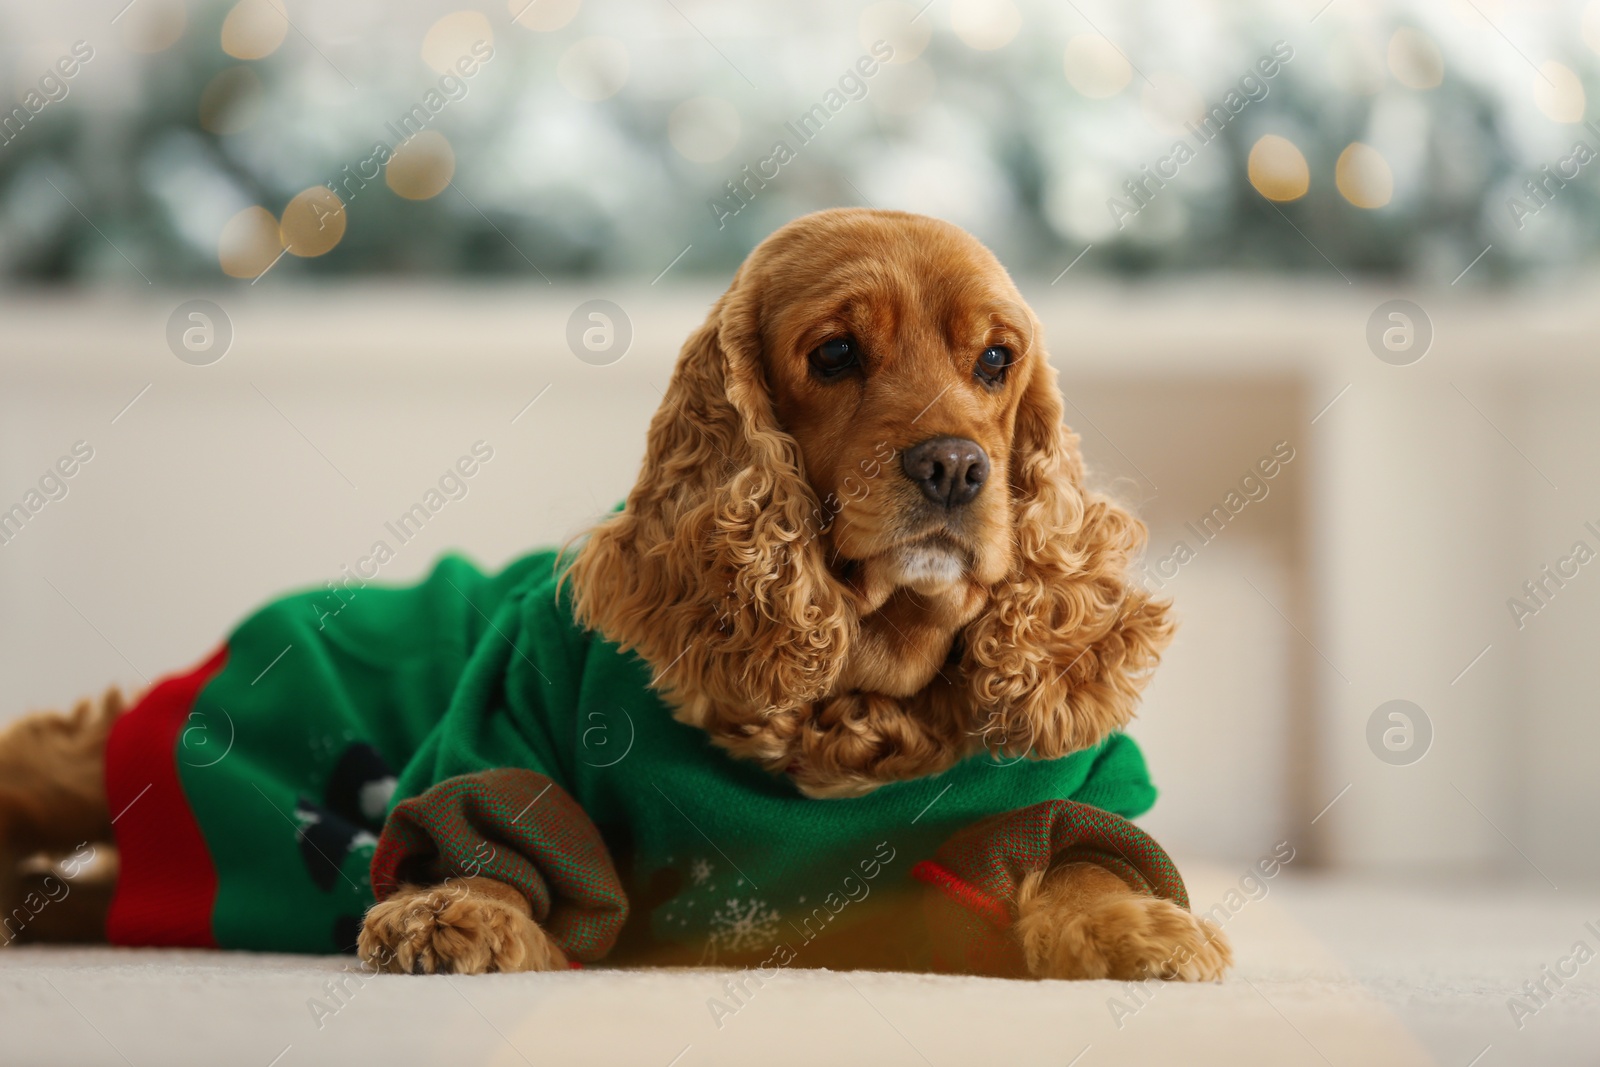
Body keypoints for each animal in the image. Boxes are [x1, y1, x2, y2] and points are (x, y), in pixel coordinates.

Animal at [3, 207, 1222, 985]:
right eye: (833, 354)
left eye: (995, 360)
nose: (957, 469)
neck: (856, 691)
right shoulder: (507, 709)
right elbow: (499, 827)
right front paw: (458, 909)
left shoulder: (1066, 788)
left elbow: (1082, 855)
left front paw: (1138, 928)